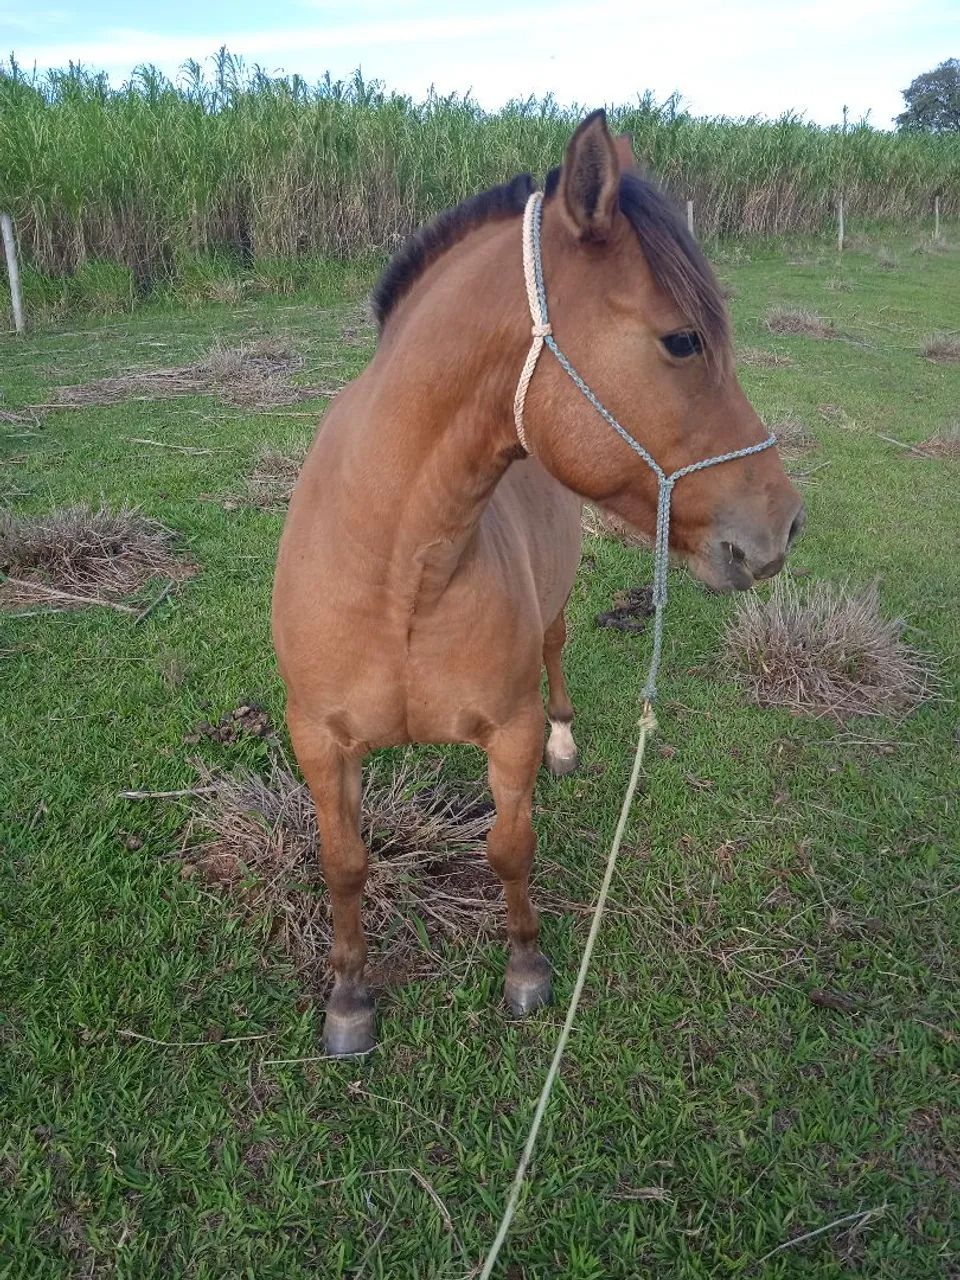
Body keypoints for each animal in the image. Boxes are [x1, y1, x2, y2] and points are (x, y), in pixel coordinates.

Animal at [272, 110, 804, 1056]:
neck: (399, 575)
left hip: (554, 613)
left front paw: (525, 967)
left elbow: (509, 849)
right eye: (682, 339)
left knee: (558, 656)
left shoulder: (508, 730)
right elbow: (343, 866)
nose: (782, 527)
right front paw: (349, 998)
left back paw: (567, 741)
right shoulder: (319, 744)